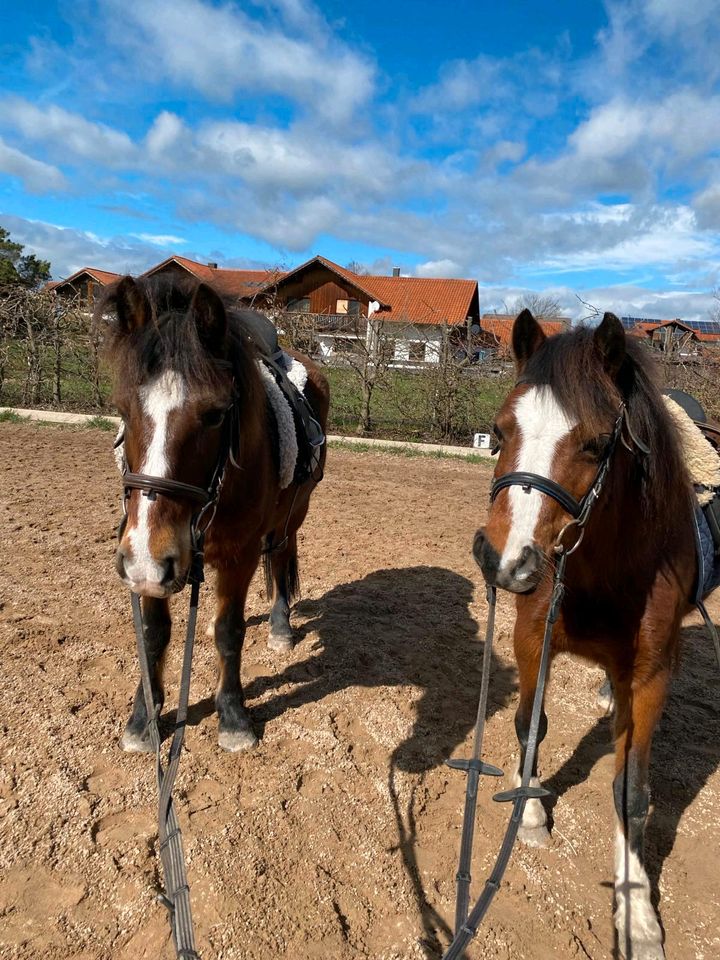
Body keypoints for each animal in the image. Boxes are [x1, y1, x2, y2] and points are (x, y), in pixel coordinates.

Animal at [99, 274, 330, 752]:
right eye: (123, 410)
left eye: (215, 414)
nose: (146, 556)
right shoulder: (151, 563)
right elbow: (154, 633)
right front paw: (143, 718)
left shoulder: (239, 554)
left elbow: (230, 630)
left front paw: (234, 716)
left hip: (294, 512)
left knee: (281, 556)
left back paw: (280, 626)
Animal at [470, 312, 712, 956]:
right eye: (499, 431)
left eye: (597, 444)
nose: (505, 560)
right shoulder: (533, 641)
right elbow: (530, 725)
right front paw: (529, 813)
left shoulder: (651, 677)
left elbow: (632, 790)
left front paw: (637, 914)